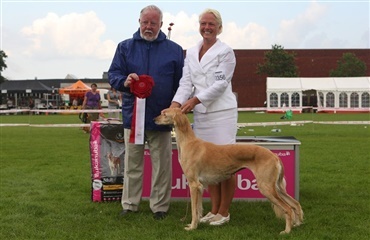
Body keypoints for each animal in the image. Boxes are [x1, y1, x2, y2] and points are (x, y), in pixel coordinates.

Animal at [155, 108, 302, 233]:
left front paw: (192, 227)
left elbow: (193, 210)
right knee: (295, 204)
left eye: (164, 114)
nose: (153, 119)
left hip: (266, 186)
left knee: (288, 208)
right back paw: (297, 224)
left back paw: (287, 231)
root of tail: (274, 155)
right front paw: (196, 223)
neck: (189, 142)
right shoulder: (200, 186)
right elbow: (198, 209)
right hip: (276, 187)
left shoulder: (194, 184)